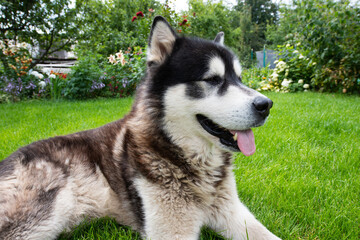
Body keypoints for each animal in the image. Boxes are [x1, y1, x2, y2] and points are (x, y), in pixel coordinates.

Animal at [0, 15, 280, 239]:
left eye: (239, 79)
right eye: (212, 80)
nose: (266, 105)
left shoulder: (233, 213)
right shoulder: (172, 231)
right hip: (50, 210)